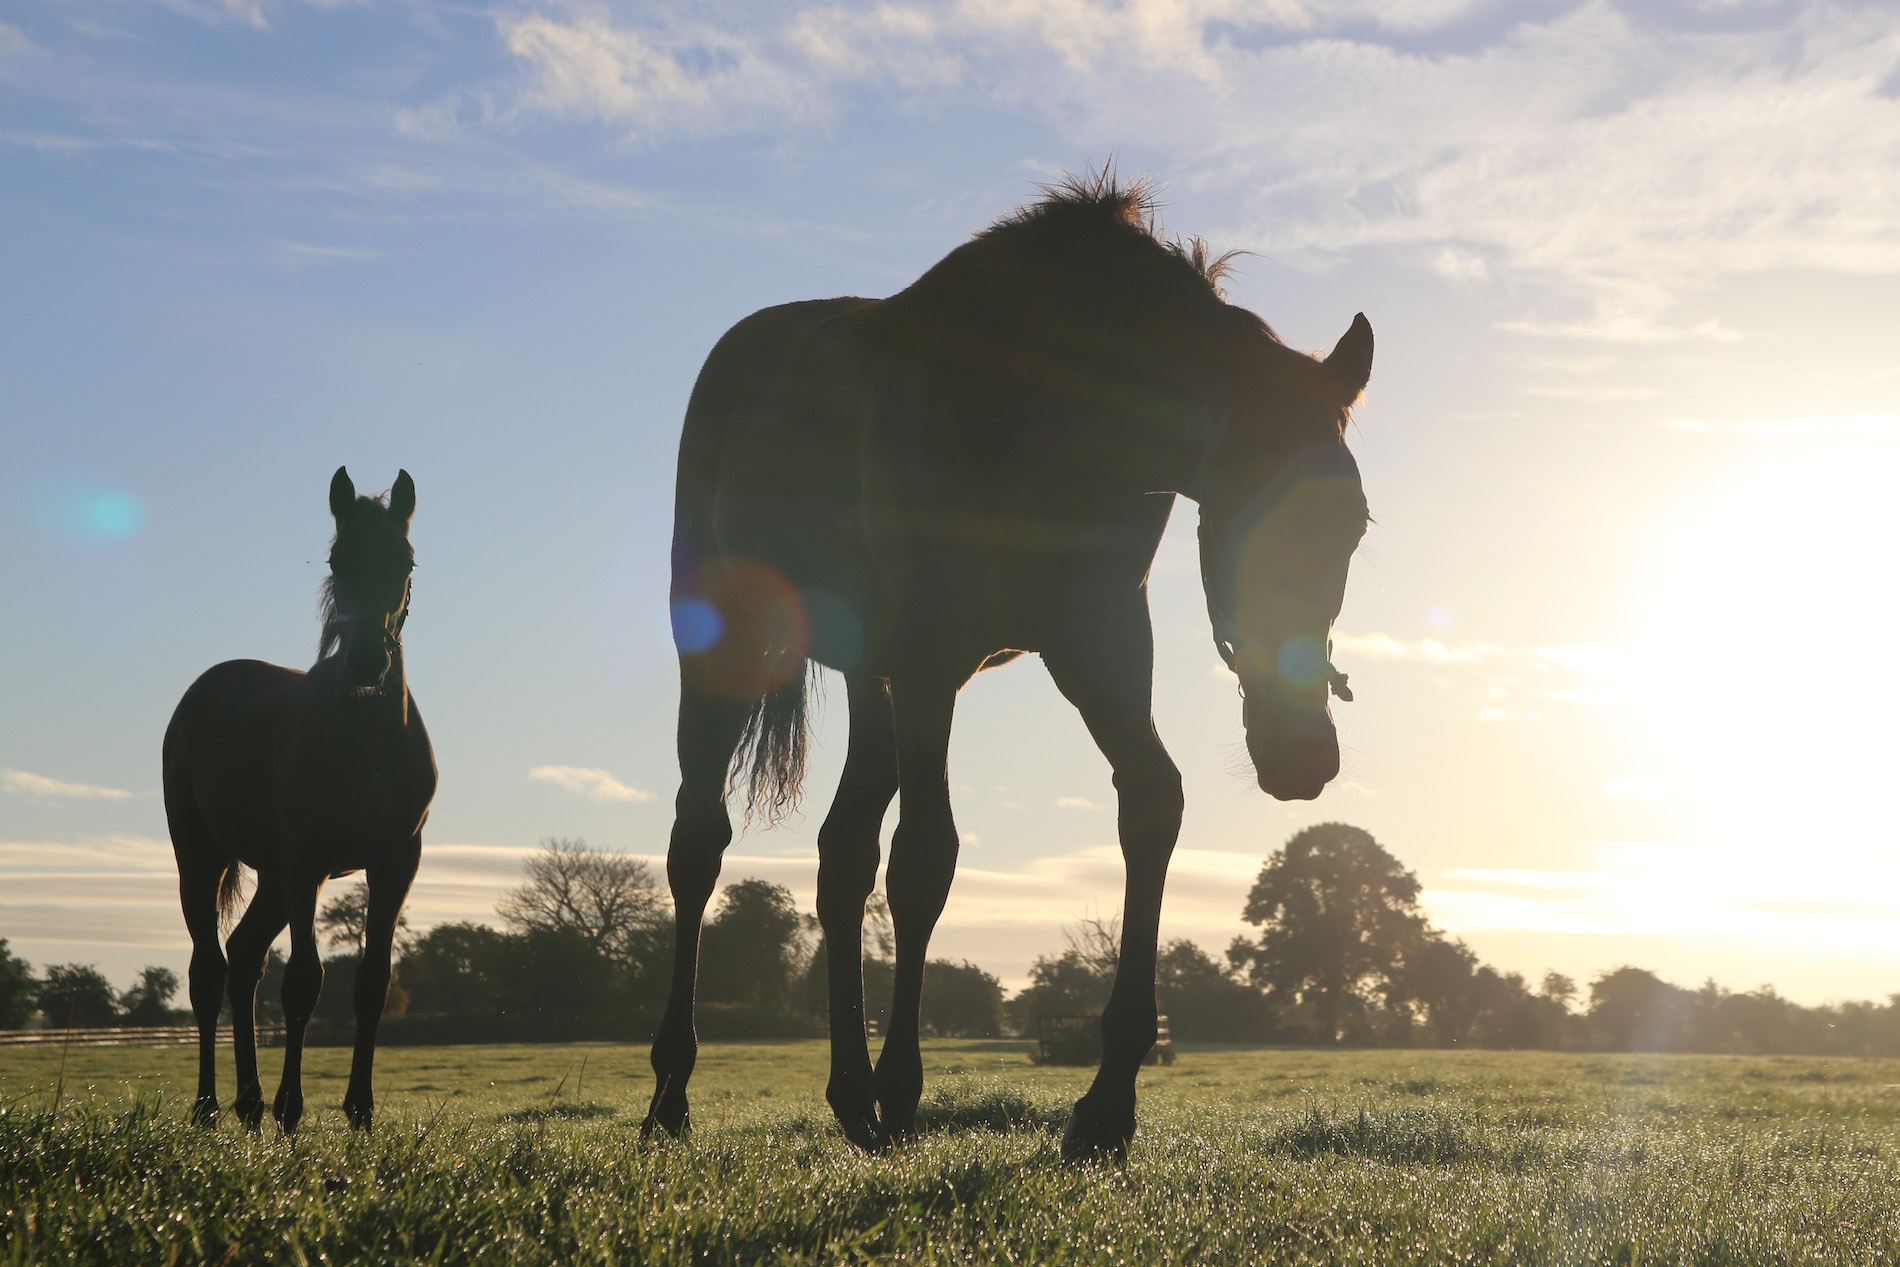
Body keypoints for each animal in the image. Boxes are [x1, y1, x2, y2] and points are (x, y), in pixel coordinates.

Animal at [163, 467, 435, 1133]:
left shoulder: (396, 862)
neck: (364, 745)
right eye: (338, 559)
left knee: (244, 957)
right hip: (202, 854)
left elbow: (372, 982)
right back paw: (211, 1107)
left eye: (405, 560)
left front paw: (360, 1110)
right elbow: (304, 983)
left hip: (273, 876)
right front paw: (293, 1109)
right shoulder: (307, 861)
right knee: (209, 970)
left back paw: (250, 1105)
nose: (366, 660)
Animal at [642, 174, 1373, 1162]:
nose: (1302, 756)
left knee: (841, 860)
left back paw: (851, 1099)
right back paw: (674, 1094)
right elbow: (926, 859)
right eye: (1235, 517)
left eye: (1354, 525)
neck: (1044, 417)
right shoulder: (930, 655)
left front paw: (1105, 1107)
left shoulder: (1099, 637)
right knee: (699, 846)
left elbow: (1152, 802)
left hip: (872, 680)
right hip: (733, 648)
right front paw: (908, 1091)